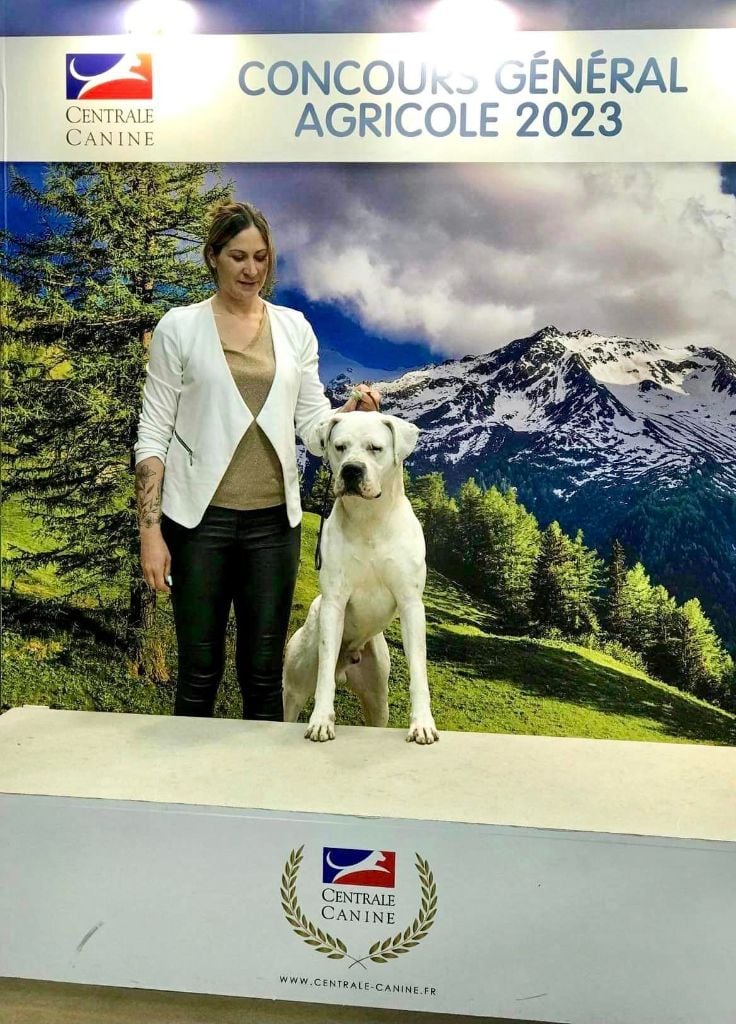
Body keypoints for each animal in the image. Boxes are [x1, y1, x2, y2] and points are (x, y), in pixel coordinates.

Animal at [282, 411, 439, 744]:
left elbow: (419, 671)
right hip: (295, 685)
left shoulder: (411, 604)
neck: (370, 520)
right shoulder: (334, 603)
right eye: (339, 447)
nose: (351, 469)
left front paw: (422, 724)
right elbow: (324, 674)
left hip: (377, 696)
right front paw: (321, 721)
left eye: (375, 448)